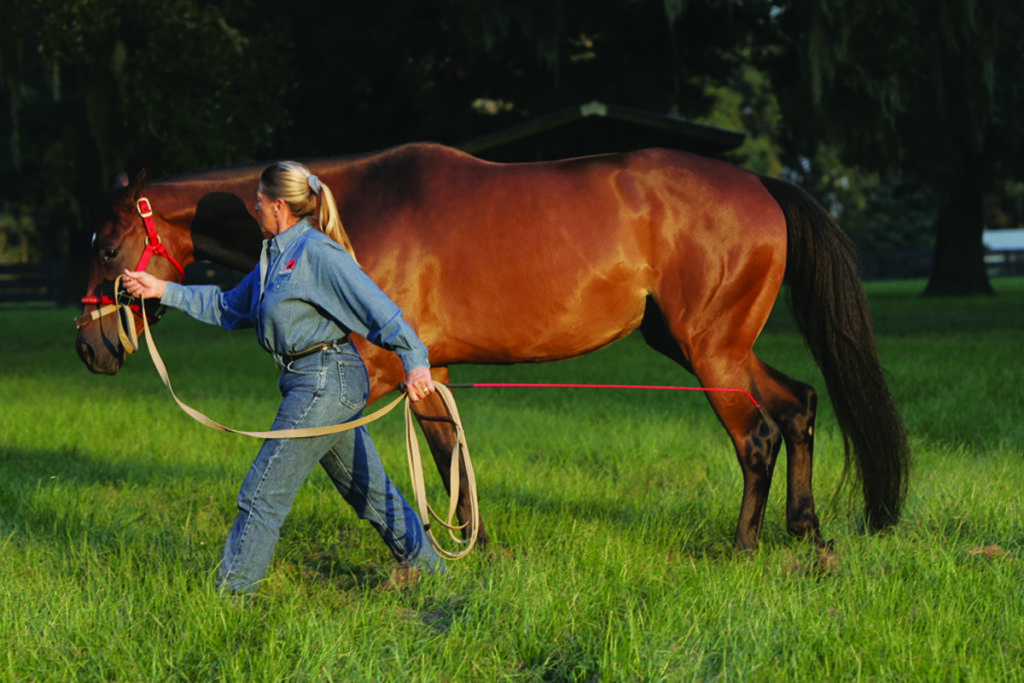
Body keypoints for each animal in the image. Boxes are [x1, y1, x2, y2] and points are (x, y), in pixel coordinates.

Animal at [75, 141, 909, 552]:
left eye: (109, 245)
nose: (92, 347)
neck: (346, 215)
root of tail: (764, 187)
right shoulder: (426, 370)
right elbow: (450, 462)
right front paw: (470, 548)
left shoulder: (377, 371)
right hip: (701, 342)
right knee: (799, 407)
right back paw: (809, 536)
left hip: (711, 351)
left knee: (759, 435)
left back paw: (743, 547)